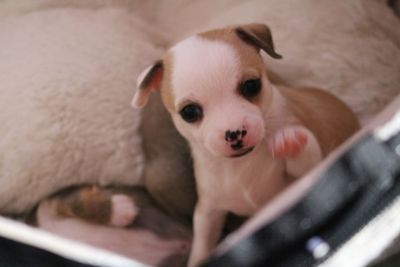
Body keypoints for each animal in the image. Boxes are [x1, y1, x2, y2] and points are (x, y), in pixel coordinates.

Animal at [132, 22, 360, 266]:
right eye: (189, 112)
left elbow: (309, 159)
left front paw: (289, 141)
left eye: (251, 86)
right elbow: (202, 243)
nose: (234, 133)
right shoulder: (208, 211)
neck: (241, 164)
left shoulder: (308, 173)